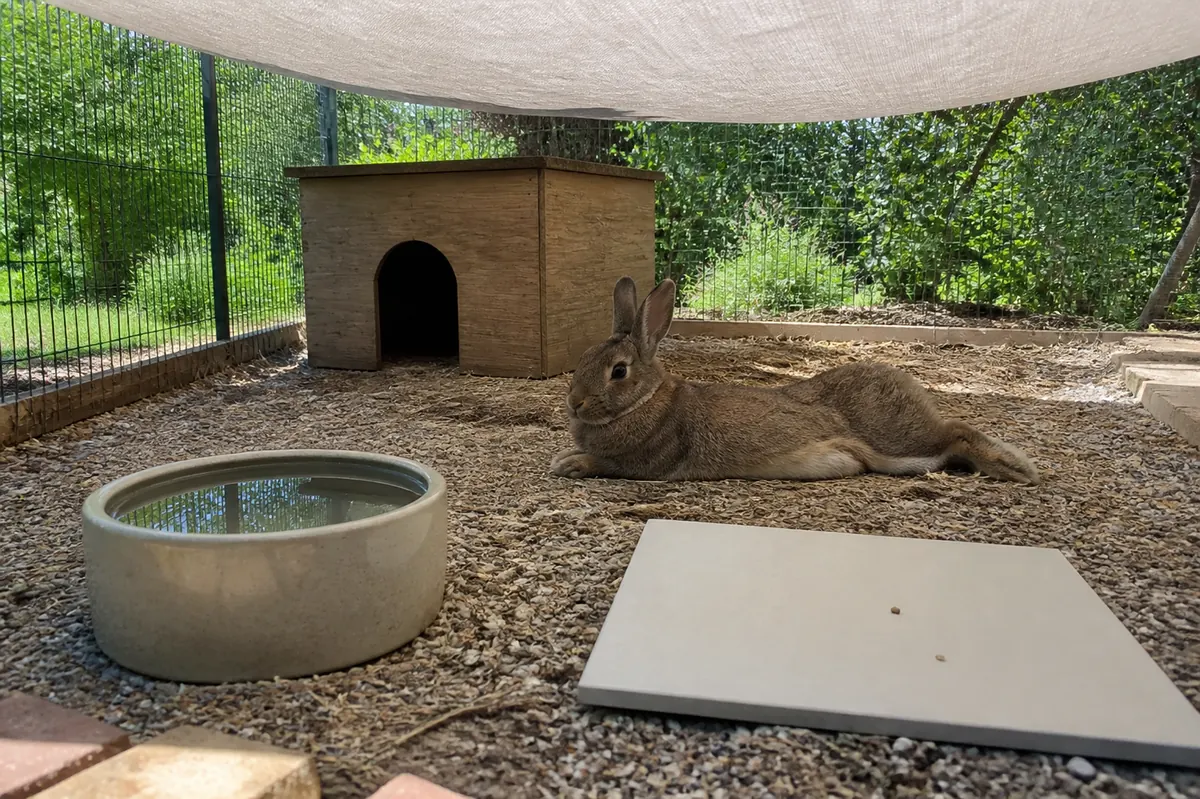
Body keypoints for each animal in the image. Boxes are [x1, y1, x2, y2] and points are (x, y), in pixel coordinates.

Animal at [550, 276, 1040, 485]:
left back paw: (1019, 470)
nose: (575, 403)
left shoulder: (650, 463)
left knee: (956, 431)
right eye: (584, 358)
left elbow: (610, 465)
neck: (648, 400)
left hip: (898, 439)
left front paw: (570, 464)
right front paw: (565, 455)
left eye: (618, 371)